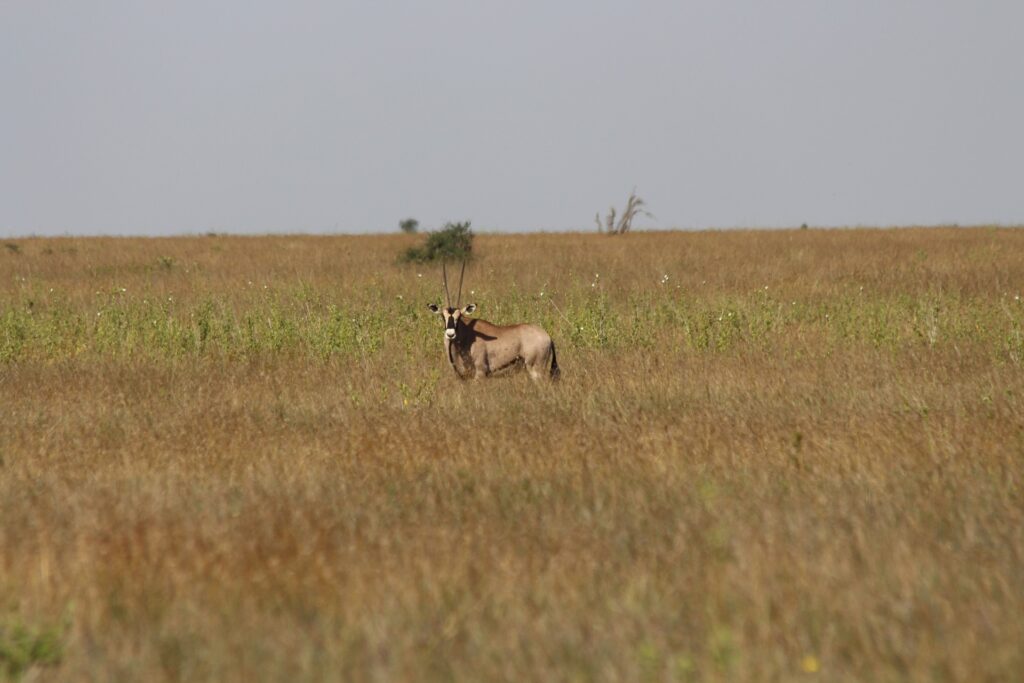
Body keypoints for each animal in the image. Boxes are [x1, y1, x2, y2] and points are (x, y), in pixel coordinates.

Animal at [428, 260, 565, 382]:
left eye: (459, 316)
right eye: (443, 316)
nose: (450, 334)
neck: (465, 335)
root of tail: (548, 336)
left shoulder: (480, 374)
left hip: (536, 370)